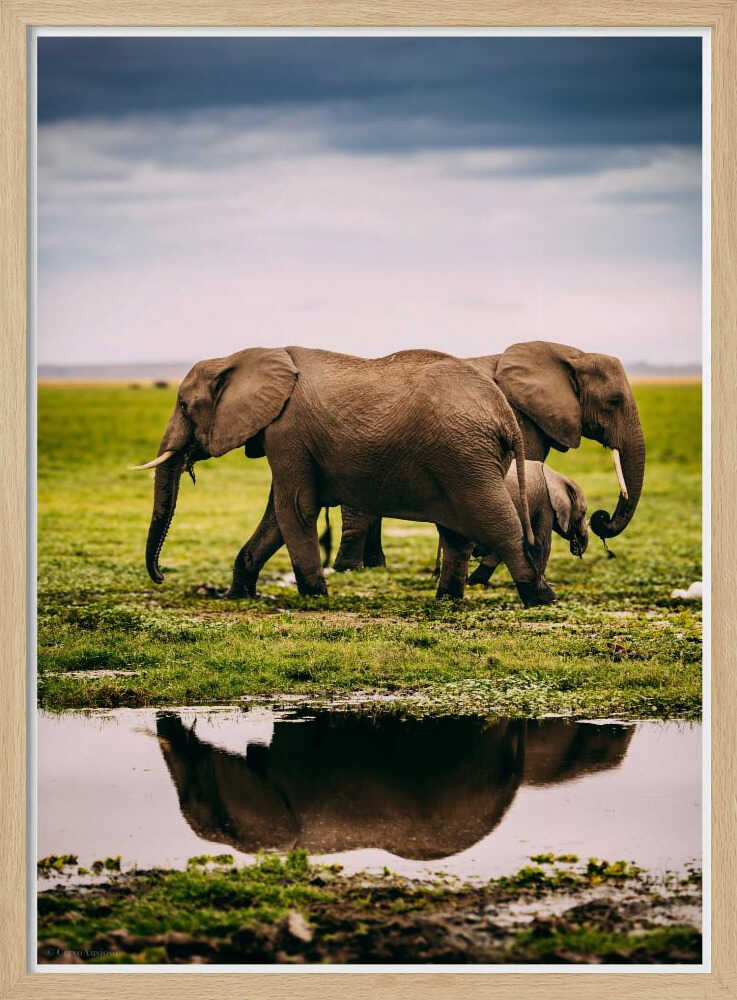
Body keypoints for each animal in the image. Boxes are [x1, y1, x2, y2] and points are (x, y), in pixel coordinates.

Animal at [133, 346, 556, 608]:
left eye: (184, 405)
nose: (160, 576)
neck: (241, 357)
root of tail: (504, 414)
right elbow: (275, 517)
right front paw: (237, 595)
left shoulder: (287, 431)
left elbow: (293, 509)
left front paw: (314, 597)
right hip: (462, 458)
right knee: (456, 533)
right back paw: (447, 599)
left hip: (465, 456)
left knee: (497, 522)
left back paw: (540, 598)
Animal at [332, 341, 645, 573]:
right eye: (614, 401)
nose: (601, 518)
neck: (571, 354)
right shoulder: (521, 418)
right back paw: (351, 568)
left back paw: (374, 566)